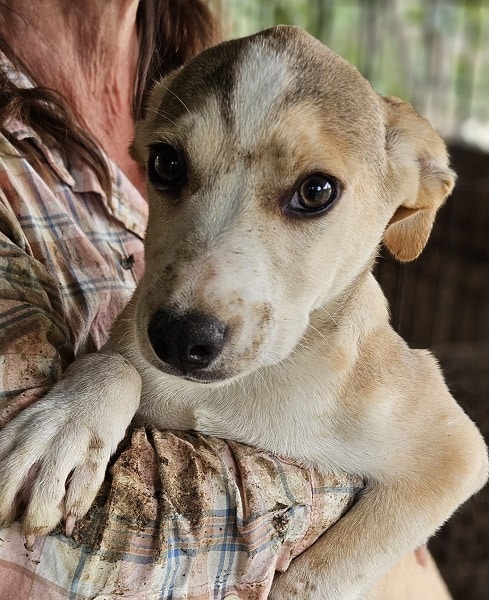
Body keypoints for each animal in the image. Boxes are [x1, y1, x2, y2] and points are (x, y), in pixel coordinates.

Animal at [0, 26, 487, 599]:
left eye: (317, 191)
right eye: (166, 163)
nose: (179, 338)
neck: (247, 386)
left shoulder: (453, 452)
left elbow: (325, 572)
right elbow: (115, 363)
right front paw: (62, 431)